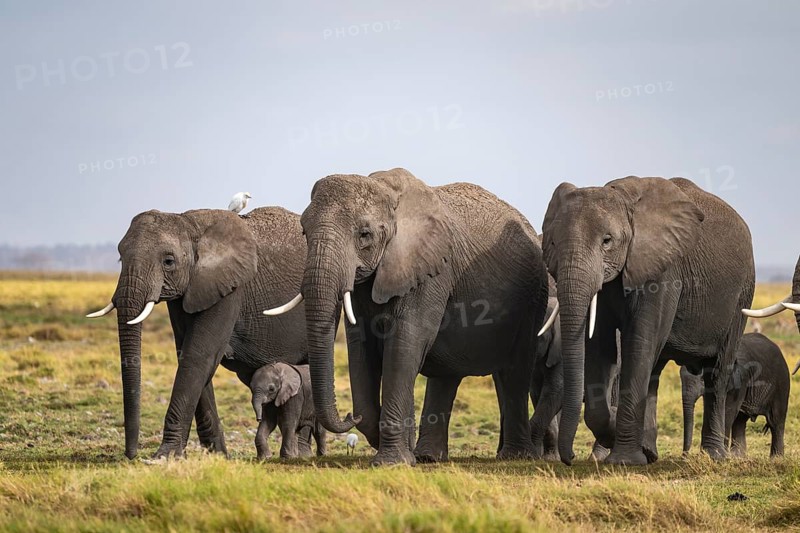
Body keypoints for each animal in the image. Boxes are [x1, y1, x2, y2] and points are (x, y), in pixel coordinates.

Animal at [86, 207, 308, 459]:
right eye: (121, 258)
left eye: (169, 261)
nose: (130, 455)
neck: (189, 222)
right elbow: (188, 354)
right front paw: (217, 456)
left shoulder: (230, 288)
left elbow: (199, 355)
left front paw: (165, 457)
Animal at [264, 168, 549, 465]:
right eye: (304, 231)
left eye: (364, 235)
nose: (349, 416)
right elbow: (361, 349)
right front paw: (397, 447)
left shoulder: (429, 271)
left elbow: (404, 345)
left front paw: (391, 462)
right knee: (447, 377)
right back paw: (428, 457)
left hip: (532, 298)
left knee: (514, 371)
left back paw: (515, 457)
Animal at [541, 176, 755, 465]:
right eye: (552, 244)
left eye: (607, 241)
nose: (570, 457)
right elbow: (599, 346)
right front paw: (619, 439)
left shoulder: (664, 272)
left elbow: (639, 342)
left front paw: (623, 460)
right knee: (654, 372)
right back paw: (650, 452)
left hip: (741, 296)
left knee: (718, 373)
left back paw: (713, 456)